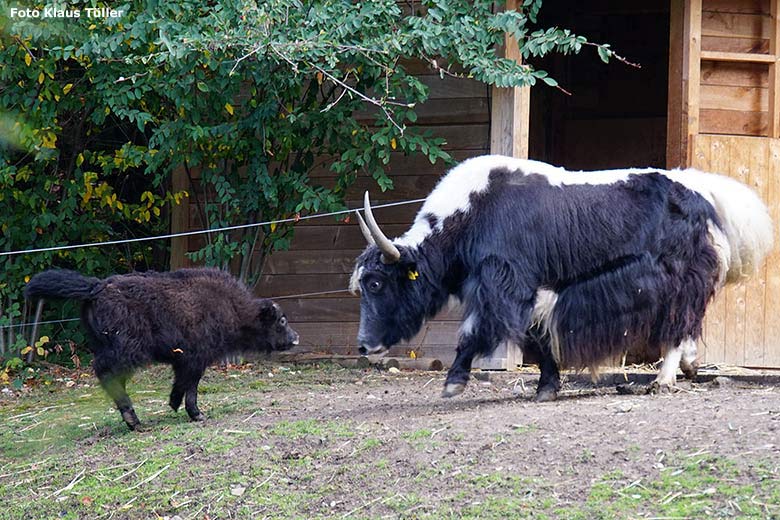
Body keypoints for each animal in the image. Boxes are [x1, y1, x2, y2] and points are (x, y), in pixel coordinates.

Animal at [24, 268, 298, 430]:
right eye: (281, 320)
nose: (295, 338)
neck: (232, 306)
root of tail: (96, 287)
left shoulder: (184, 361)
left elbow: (182, 384)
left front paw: (174, 404)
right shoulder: (196, 359)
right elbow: (191, 387)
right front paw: (196, 414)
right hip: (126, 351)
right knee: (106, 373)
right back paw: (134, 421)